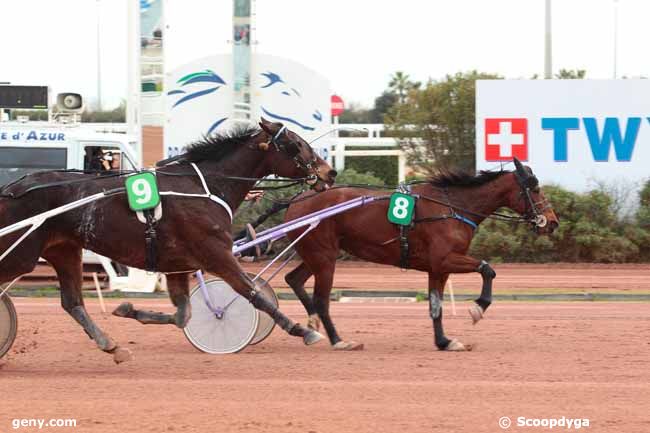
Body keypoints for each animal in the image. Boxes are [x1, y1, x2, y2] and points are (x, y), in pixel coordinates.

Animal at [0, 117, 334, 362]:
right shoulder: (217, 254)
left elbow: (183, 315)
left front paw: (128, 310)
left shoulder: (178, 265)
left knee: (72, 303)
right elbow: (254, 294)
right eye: (295, 145)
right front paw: (303, 330)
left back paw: (112, 346)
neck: (204, 186)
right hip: (22, 254)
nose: (329, 173)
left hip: (64, 249)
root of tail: (11, 189)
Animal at [284, 159, 556, 352]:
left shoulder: (438, 269)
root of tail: (296, 200)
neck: (452, 208)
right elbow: (487, 268)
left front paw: (444, 341)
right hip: (324, 257)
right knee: (321, 300)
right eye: (535, 188)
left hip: (318, 255)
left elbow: (435, 305)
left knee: (293, 279)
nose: (552, 222)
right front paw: (477, 308)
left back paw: (311, 327)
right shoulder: (445, 259)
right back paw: (338, 340)